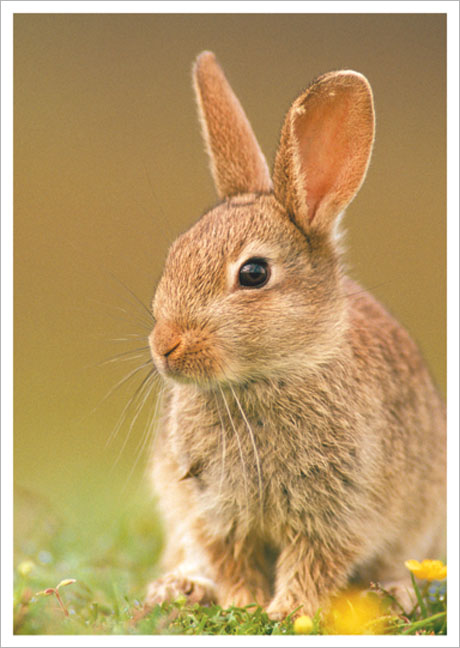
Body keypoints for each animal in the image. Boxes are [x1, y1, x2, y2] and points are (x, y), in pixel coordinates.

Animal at [145, 50, 446, 616]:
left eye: (254, 274)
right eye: (175, 255)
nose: (165, 346)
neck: (269, 377)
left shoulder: (339, 508)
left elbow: (314, 559)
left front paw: (288, 613)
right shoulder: (213, 509)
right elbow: (232, 557)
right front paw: (243, 605)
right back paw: (181, 588)